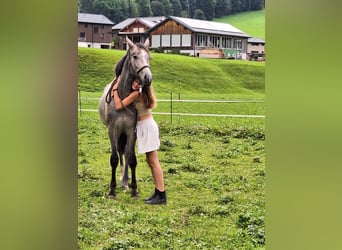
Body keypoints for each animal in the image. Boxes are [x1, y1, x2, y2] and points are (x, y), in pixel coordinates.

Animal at [99, 36, 152, 197]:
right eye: (135, 56)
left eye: (149, 57)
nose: (148, 77)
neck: (122, 97)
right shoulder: (112, 131)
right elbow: (114, 158)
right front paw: (112, 190)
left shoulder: (131, 131)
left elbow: (132, 158)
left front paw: (133, 189)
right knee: (120, 153)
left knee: (126, 154)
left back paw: (125, 181)